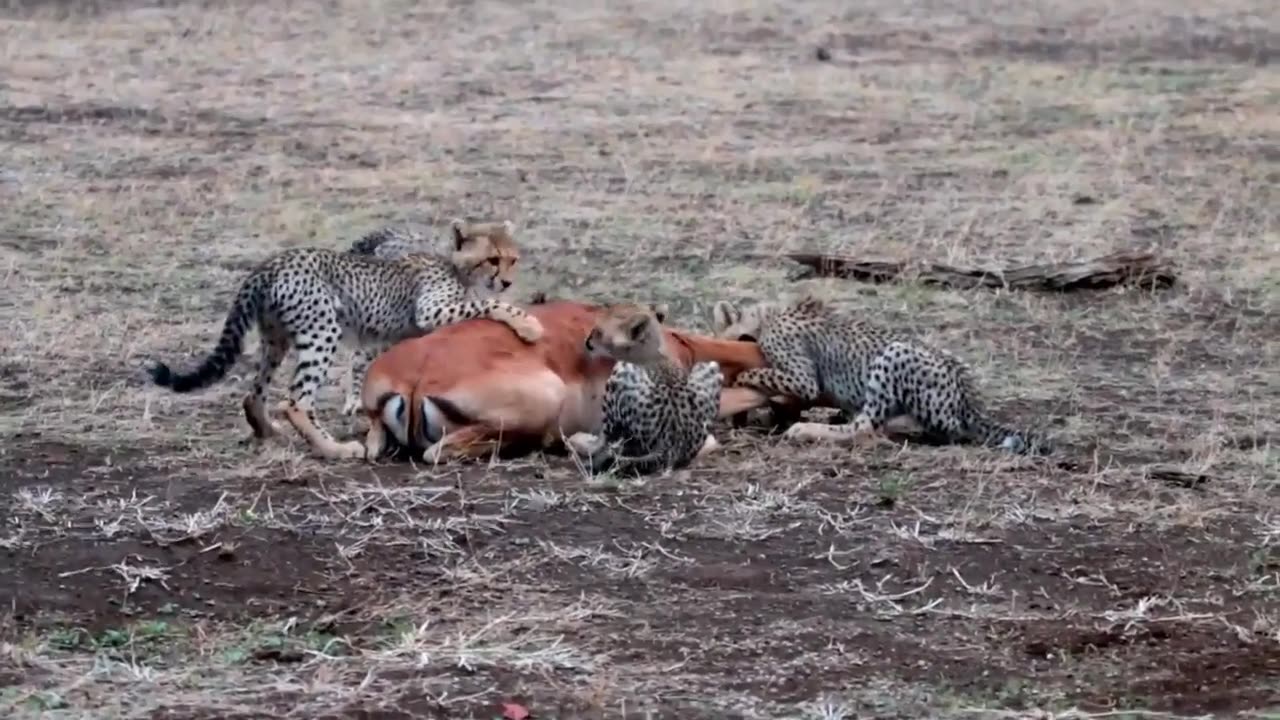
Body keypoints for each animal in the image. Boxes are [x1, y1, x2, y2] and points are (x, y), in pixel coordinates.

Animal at [148, 215, 540, 458]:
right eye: (492, 259)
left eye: (513, 259)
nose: (507, 282)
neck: (454, 265)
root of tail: (272, 263)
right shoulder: (431, 310)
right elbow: (486, 304)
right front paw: (529, 324)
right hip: (323, 330)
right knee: (296, 401)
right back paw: (335, 449)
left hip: (277, 339)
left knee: (254, 393)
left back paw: (270, 433)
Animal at [568, 301, 727, 474]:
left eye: (599, 331)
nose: (587, 342)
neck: (652, 350)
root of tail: (670, 445)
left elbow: (604, 438)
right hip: (710, 367)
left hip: (621, 373)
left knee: (607, 440)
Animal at [711, 293, 1049, 450]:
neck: (765, 318)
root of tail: (972, 403)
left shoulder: (803, 379)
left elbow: (764, 375)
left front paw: (741, 379)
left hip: (896, 353)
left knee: (864, 427)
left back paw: (808, 430)